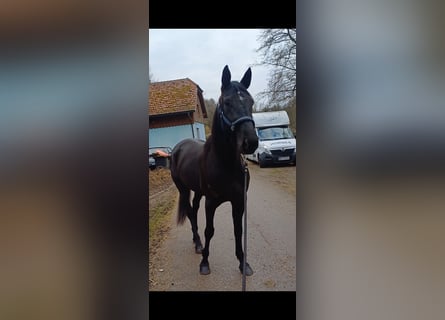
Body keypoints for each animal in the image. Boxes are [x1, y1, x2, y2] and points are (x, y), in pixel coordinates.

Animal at [171, 65, 260, 276]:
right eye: (227, 102)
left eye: (251, 101)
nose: (251, 143)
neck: (225, 163)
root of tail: (178, 147)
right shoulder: (211, 203)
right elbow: (209, 230)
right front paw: (204, 263)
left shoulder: (239, 201)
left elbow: (238, 230)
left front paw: (243, 263)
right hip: (183, 189)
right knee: (190, 212)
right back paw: (198, 244)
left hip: (197, 192)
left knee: (194, 210)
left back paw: (196, 243)